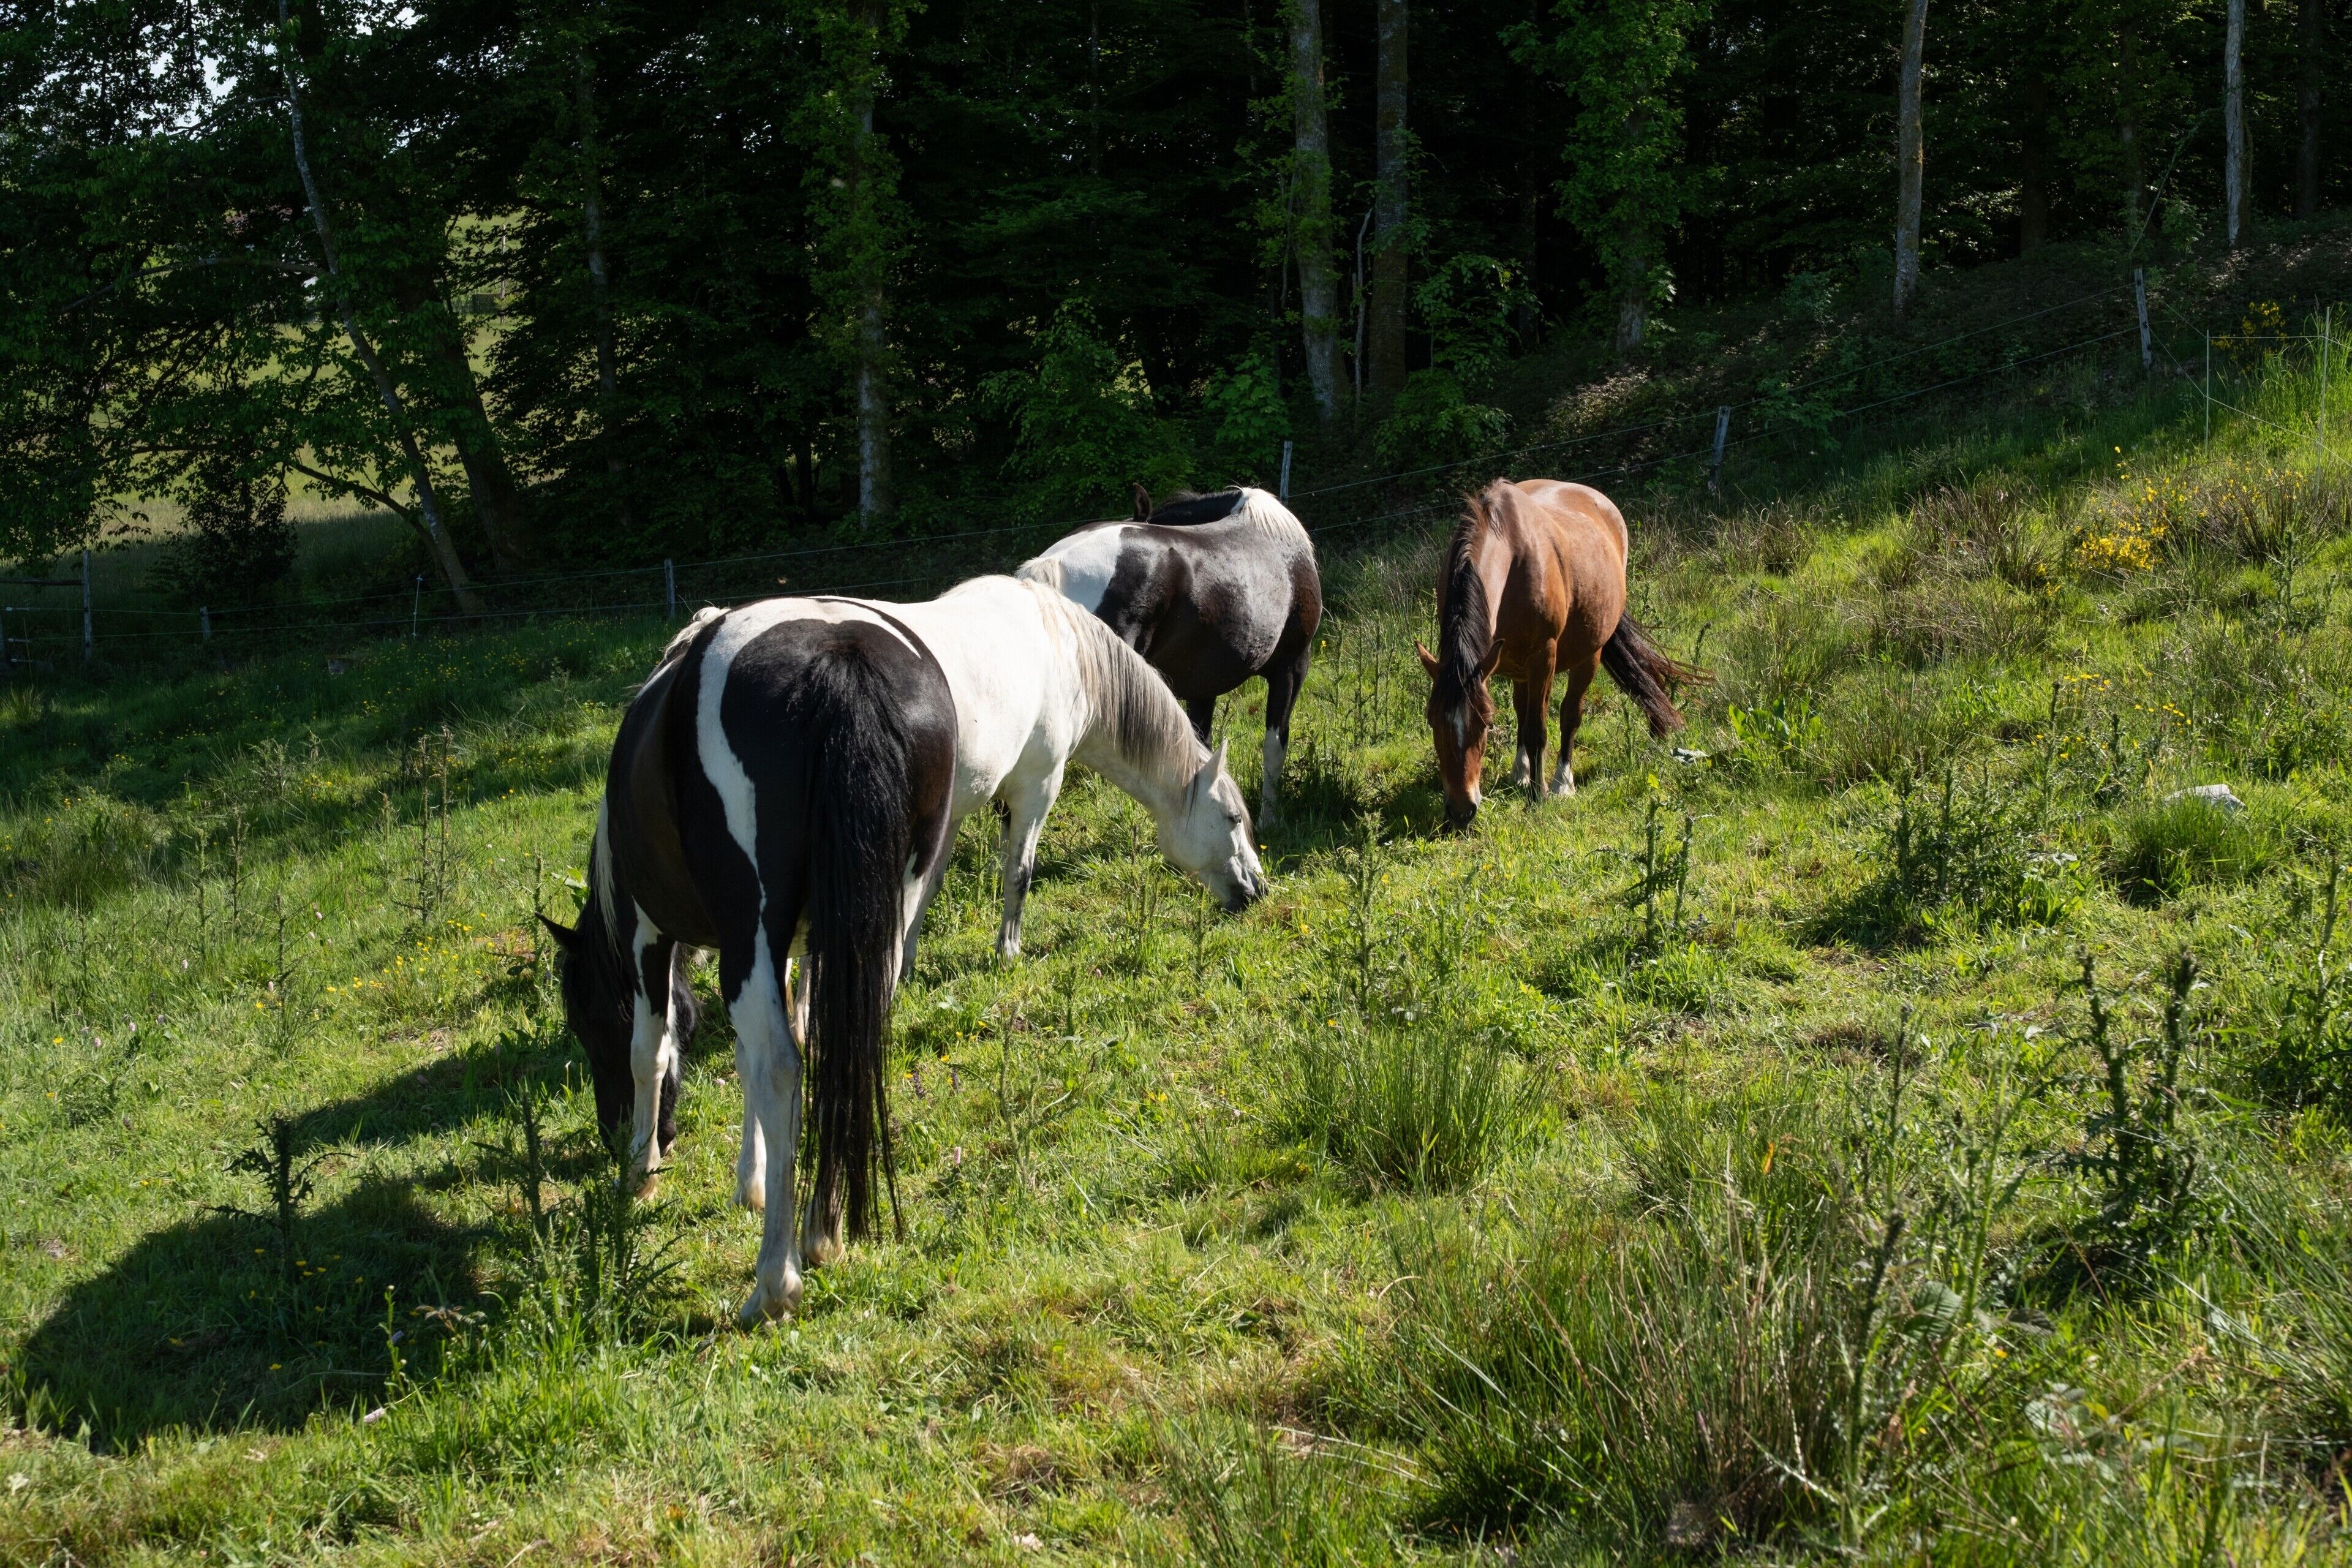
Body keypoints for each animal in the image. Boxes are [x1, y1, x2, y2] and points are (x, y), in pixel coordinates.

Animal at [543, 577, 1265, 1325]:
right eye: (1233, 817)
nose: (1256, 889)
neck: (1057, 644)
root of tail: (838, 663)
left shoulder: (660, 931)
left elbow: (661, 1050)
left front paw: (652, 1173)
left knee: (785, 1064)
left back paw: (777, 1277)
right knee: (838, 1049)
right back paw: (816, 1234)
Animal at [1415, 479, 1705, 830]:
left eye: (1485, 724)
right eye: (1432, 719)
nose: (1461, 810)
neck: (1512, 557)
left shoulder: (1544, 657)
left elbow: (1537, 729)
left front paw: (1537, 797)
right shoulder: (1502, 663)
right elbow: (1523, 716)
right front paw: (1523, 777)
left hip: (1588, 654)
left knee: (1570, 714)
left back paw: (1562, 783)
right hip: (1518, 666)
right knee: (1524, 708)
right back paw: (1523, 773)